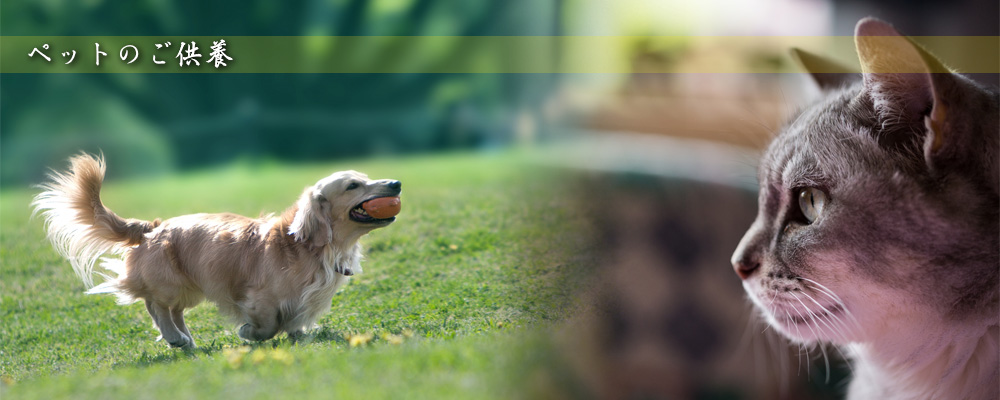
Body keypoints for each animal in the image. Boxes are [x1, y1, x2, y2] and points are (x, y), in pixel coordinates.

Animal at [35, 155, 402, 348]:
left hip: (190, 288)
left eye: (367, 177)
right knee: (156, 306)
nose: (396, 183)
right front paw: (248, 333)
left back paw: (183, 338)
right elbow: (267, 325)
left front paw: (298, 336)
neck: (307, 247)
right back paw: (175, 338)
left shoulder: (304, 301)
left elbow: (295, 323)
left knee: (172, 311)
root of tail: (152, 228)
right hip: (170, 284)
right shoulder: (258, 298)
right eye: (353, 185)